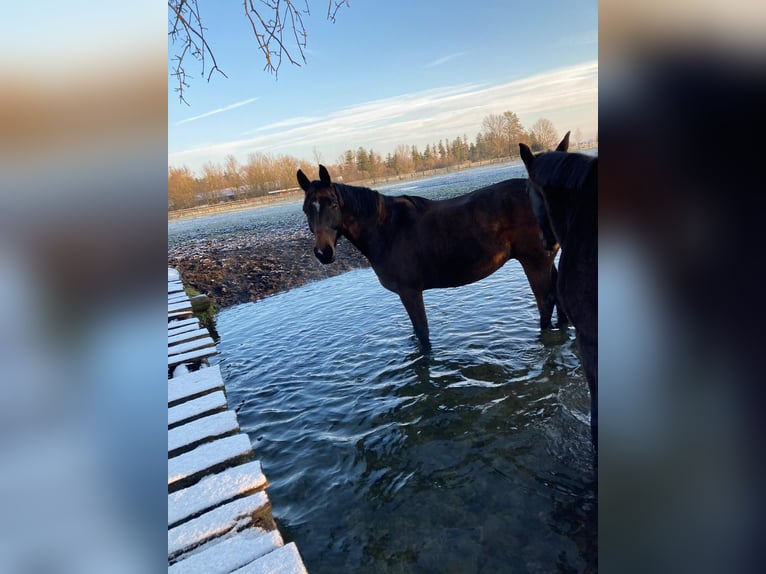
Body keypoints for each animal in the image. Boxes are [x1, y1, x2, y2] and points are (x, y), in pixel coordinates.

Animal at [296, 164, 568, 354]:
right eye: (306, 208)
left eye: (333, 203)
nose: (323, 253)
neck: (387, 229)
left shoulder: (410, 292)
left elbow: (422, 334)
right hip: (545, 261)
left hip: (535, 262)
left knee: (546, 303)